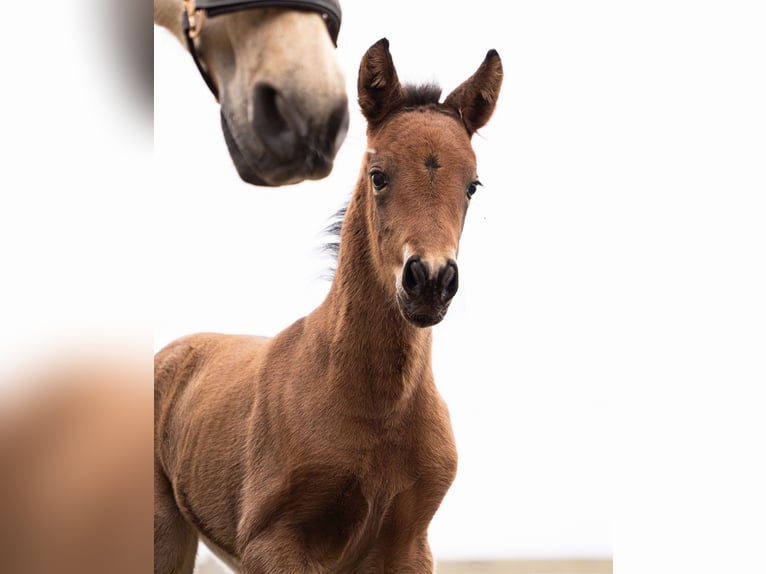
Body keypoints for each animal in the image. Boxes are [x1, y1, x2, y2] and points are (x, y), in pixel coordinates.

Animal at [154, 37, 503, 572]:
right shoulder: (271, 543)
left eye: (472, 186)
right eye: (378, 176)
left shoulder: (409, 545)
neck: (377, 410)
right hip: (163, 529)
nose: (430, 280)